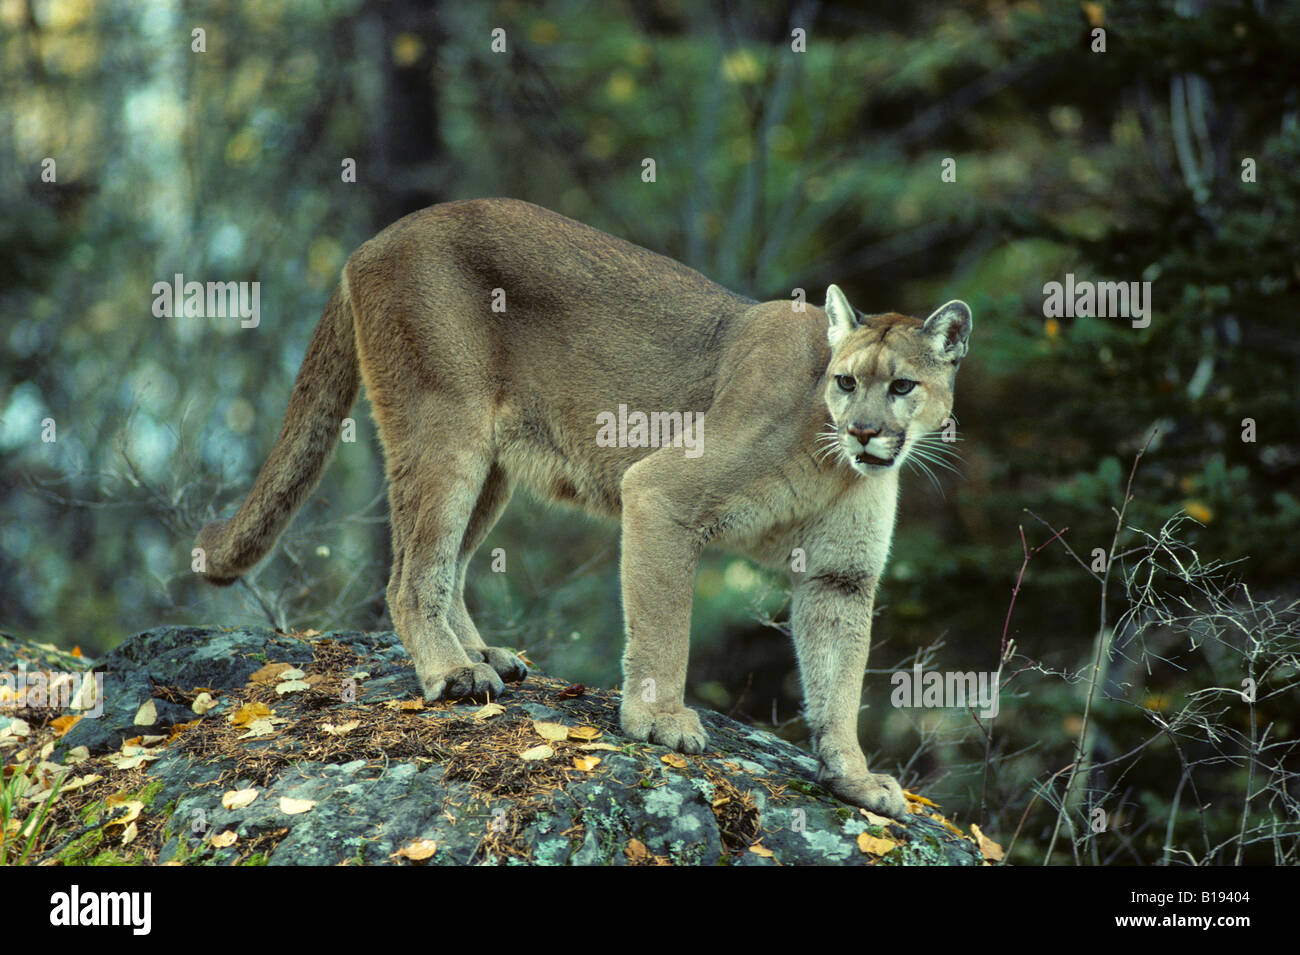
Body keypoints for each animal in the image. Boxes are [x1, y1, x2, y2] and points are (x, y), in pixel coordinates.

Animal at [189, 197, 967, 815]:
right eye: (846, 381)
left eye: (901, 386)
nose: (864, 430)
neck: (831, 461)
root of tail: (374, 239)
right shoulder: (660, 493)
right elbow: (664, 627)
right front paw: (659, 719)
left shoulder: (841, 575)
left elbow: (839, 681)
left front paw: (855, 779)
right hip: (445, 428)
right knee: (410, 574)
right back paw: (453, 672)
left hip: (492, 461)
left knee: (447, 564)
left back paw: (481, 653)